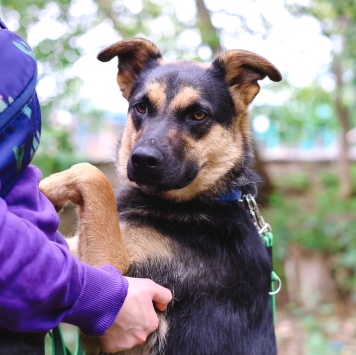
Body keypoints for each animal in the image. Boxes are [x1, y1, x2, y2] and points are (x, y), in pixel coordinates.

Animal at [40, 37, 282, 354]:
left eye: (198, 114)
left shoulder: (119, 280)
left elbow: (93, 176)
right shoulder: (76, 251)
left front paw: (42, 187)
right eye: (141, 107)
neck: (201, 203)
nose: (142, 159)